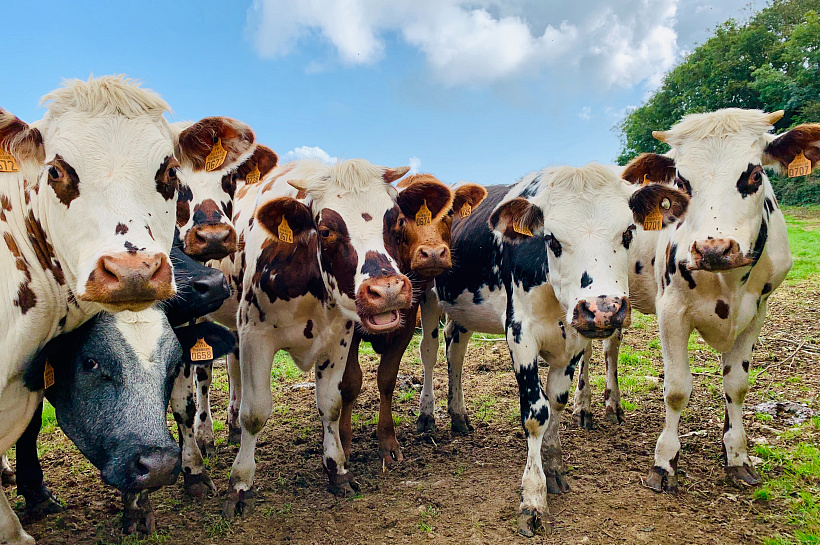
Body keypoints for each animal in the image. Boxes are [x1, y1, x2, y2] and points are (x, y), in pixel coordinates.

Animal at [209, 158, 464, 517]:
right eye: (326, 230)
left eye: (398, 221)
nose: (387, 290)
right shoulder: (255, 336)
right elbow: (255, 412)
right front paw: (240, 485)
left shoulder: (339, 339)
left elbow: (331, 404)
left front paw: (338, 470)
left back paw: (231, 426)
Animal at [339, 176, 487, 468]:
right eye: (401, 219)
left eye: (449, 214)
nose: (433, 253)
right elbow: (351, 382)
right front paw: (344, 445)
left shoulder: (408, 322)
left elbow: (387, 379)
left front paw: (388, 442)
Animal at [417, 163, 689, 535]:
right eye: (551, 239)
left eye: (628, 233)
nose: (602, 309)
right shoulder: (520, 333)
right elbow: (536, 413)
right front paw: (533, 497)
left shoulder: (573, 342)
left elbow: (557, 402)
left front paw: (554, 466)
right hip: (427, 295)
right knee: (429, 351)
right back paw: (427, 415)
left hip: (462, 311)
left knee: (455, 349)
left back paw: (458, 416)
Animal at [579, 109, 813, 495]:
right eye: (681, 182)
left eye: (755, 174)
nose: (713, 248)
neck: (727, 281)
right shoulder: (671, 311)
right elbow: (676, 389)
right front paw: (664, 462)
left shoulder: (756, 313)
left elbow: (737, 385)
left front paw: (736, 456)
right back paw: (583, 407)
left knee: (611, 347)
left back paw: (612, 404)